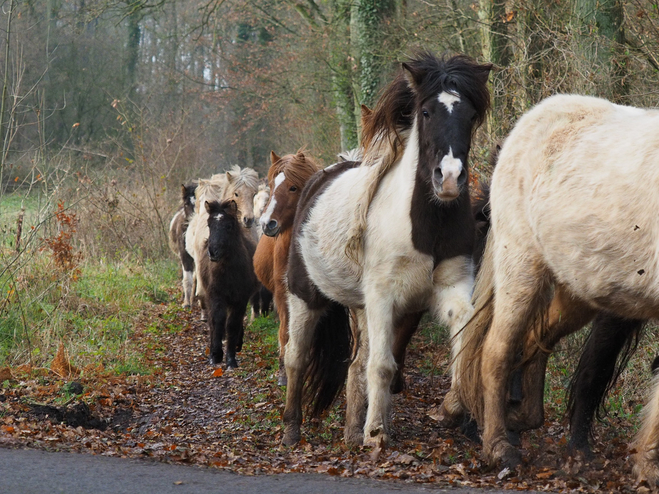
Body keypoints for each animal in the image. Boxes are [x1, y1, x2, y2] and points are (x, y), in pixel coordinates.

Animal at [196, 200, 258, 366]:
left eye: (229, 226)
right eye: (209, 224)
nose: (213, 252)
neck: (228, 273)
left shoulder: (240, 299)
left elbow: (233, 324)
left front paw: (230, 359)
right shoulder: (216, 296)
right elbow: (217, 320)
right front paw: (215, 355)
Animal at [253, 150, 322, 386]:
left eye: (293, 187)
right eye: (272, 186)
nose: (267, 224)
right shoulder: (283, 293)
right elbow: (285, 332)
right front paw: (284, 372)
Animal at [282, 53, 492, 448]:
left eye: (471, 114)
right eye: (426, 112)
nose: (449, 179)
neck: (426, 227)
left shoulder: (451, 288)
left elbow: (465, 340)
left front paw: (451, 408)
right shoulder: (383, 297)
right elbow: (381, 365)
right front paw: (377, 433)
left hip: (359, 307)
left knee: (354, 365)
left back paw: (351, 433)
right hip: (305, 297)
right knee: (296, 358)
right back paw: (291, 430)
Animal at [454, 92, 659, 482]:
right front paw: (648, 466)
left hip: (580, 291)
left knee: (536, 337)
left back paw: (522, 418)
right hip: (521, 268)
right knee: (497, 350)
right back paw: (499, 448)